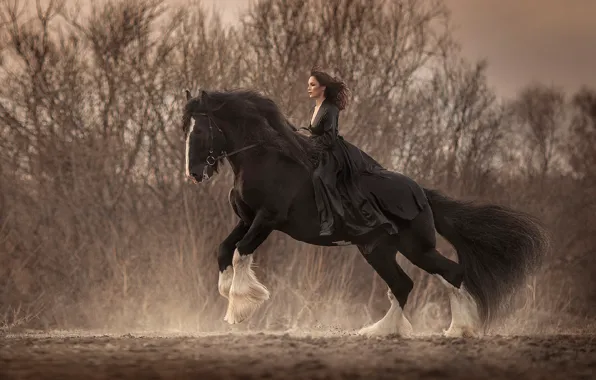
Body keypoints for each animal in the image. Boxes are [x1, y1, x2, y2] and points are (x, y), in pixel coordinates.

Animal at [183, 88, 548, 336]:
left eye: (198, 130)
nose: (195, 174)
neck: (264, 158)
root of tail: (421, 193)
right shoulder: (246, 219)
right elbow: (224, 249)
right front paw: (227, 292)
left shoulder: (267, 220)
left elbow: (240, 252)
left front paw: (242, 305)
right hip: (378, 249)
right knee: (403, 285)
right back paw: (382, 331)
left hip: (415, 248)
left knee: (450, 273)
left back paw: (457, 330)